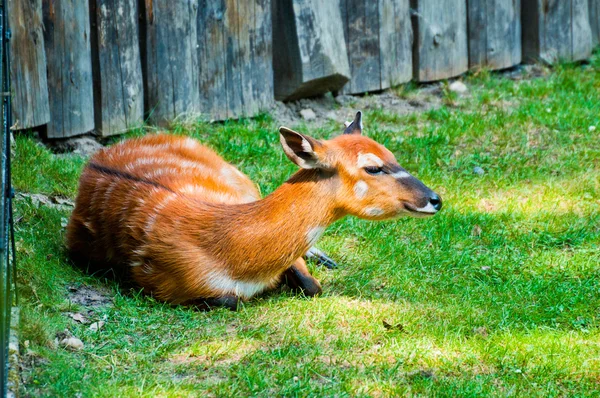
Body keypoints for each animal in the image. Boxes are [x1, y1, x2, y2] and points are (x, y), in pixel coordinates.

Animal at [67, 113, 440, 310]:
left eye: (393, 155)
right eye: (373, 167)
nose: (435, 199)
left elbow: (311, 284)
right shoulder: (162, 284)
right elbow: (231, 300)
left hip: (239, 177)